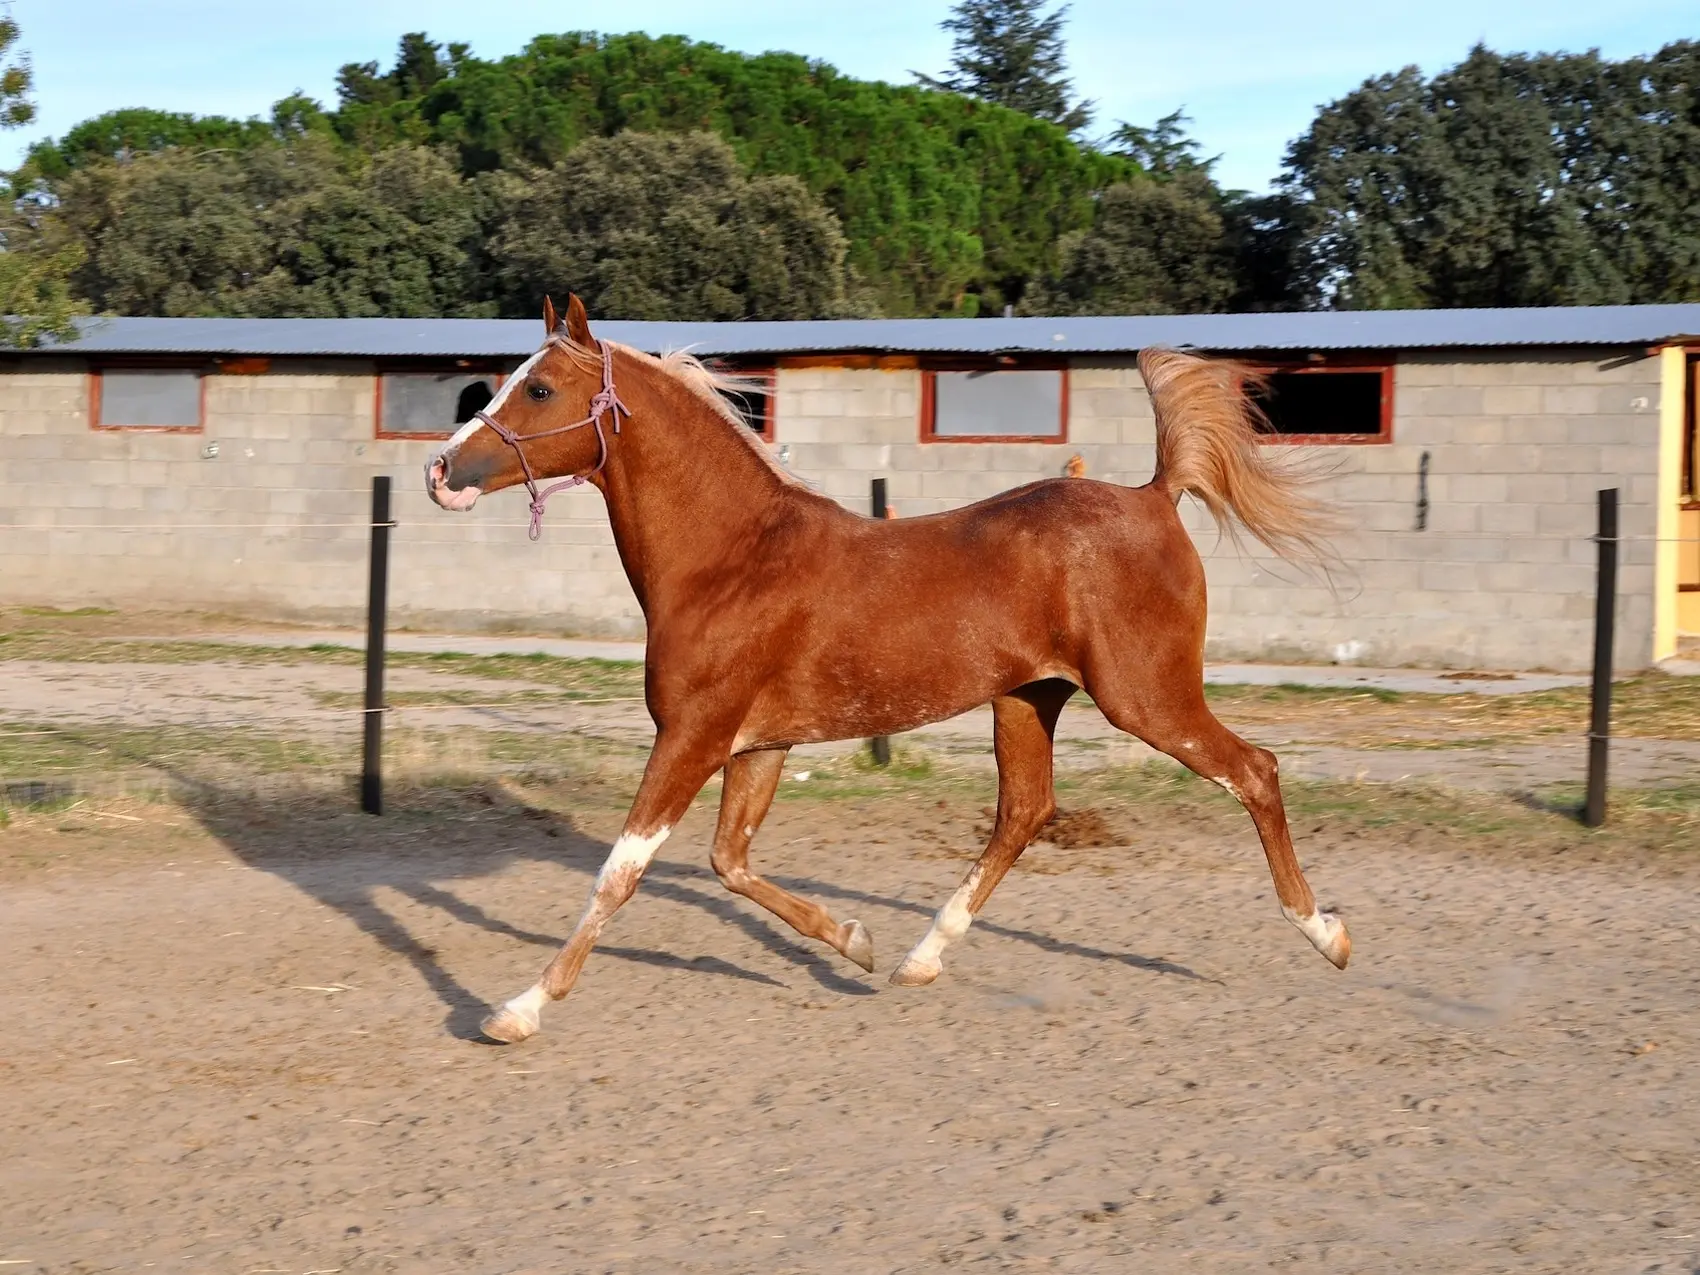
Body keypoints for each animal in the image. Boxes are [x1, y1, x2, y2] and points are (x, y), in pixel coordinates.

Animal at [428, 299, 1353, 1047]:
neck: (732, 559)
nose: (440, 472)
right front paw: (855, 941)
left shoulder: (692, 736)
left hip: (1147, 696)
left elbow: (621, 873)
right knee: (1024, 811)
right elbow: (731, 862)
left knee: (1254, 770)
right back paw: (918, 957)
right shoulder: (756, 745)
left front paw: (516, 1010)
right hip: (1028, 699)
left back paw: (1327, 933)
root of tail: (1157, 495)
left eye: (539, 389)